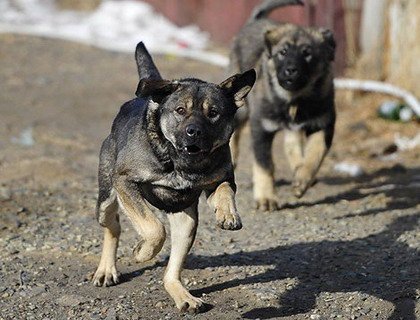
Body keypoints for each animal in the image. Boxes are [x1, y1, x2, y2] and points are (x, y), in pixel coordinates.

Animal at [92, 42, 256, 312]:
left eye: (214, 113)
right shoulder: (125, 181)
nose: (194, 132)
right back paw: (107, 269)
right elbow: (154, 229)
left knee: (172, 272)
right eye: (180, 111)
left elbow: (224, 190)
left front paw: (228, 215)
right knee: (113, 226)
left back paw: (183, 296)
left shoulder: (220, 179)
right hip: (106, 199)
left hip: (186, 222)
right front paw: (142, 251)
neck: (179, 163)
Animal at [228, 0, 336, 210]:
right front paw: (266, 198)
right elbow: (264, 164)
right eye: (283, 53)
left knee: (292, 143)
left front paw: (302, 180)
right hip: (241, 109)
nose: (290, 71)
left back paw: (298, 166)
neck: (294, 99)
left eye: (307, 54)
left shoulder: (323, 123)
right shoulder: (261, 127)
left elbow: (315, 153)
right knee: (233, 133)